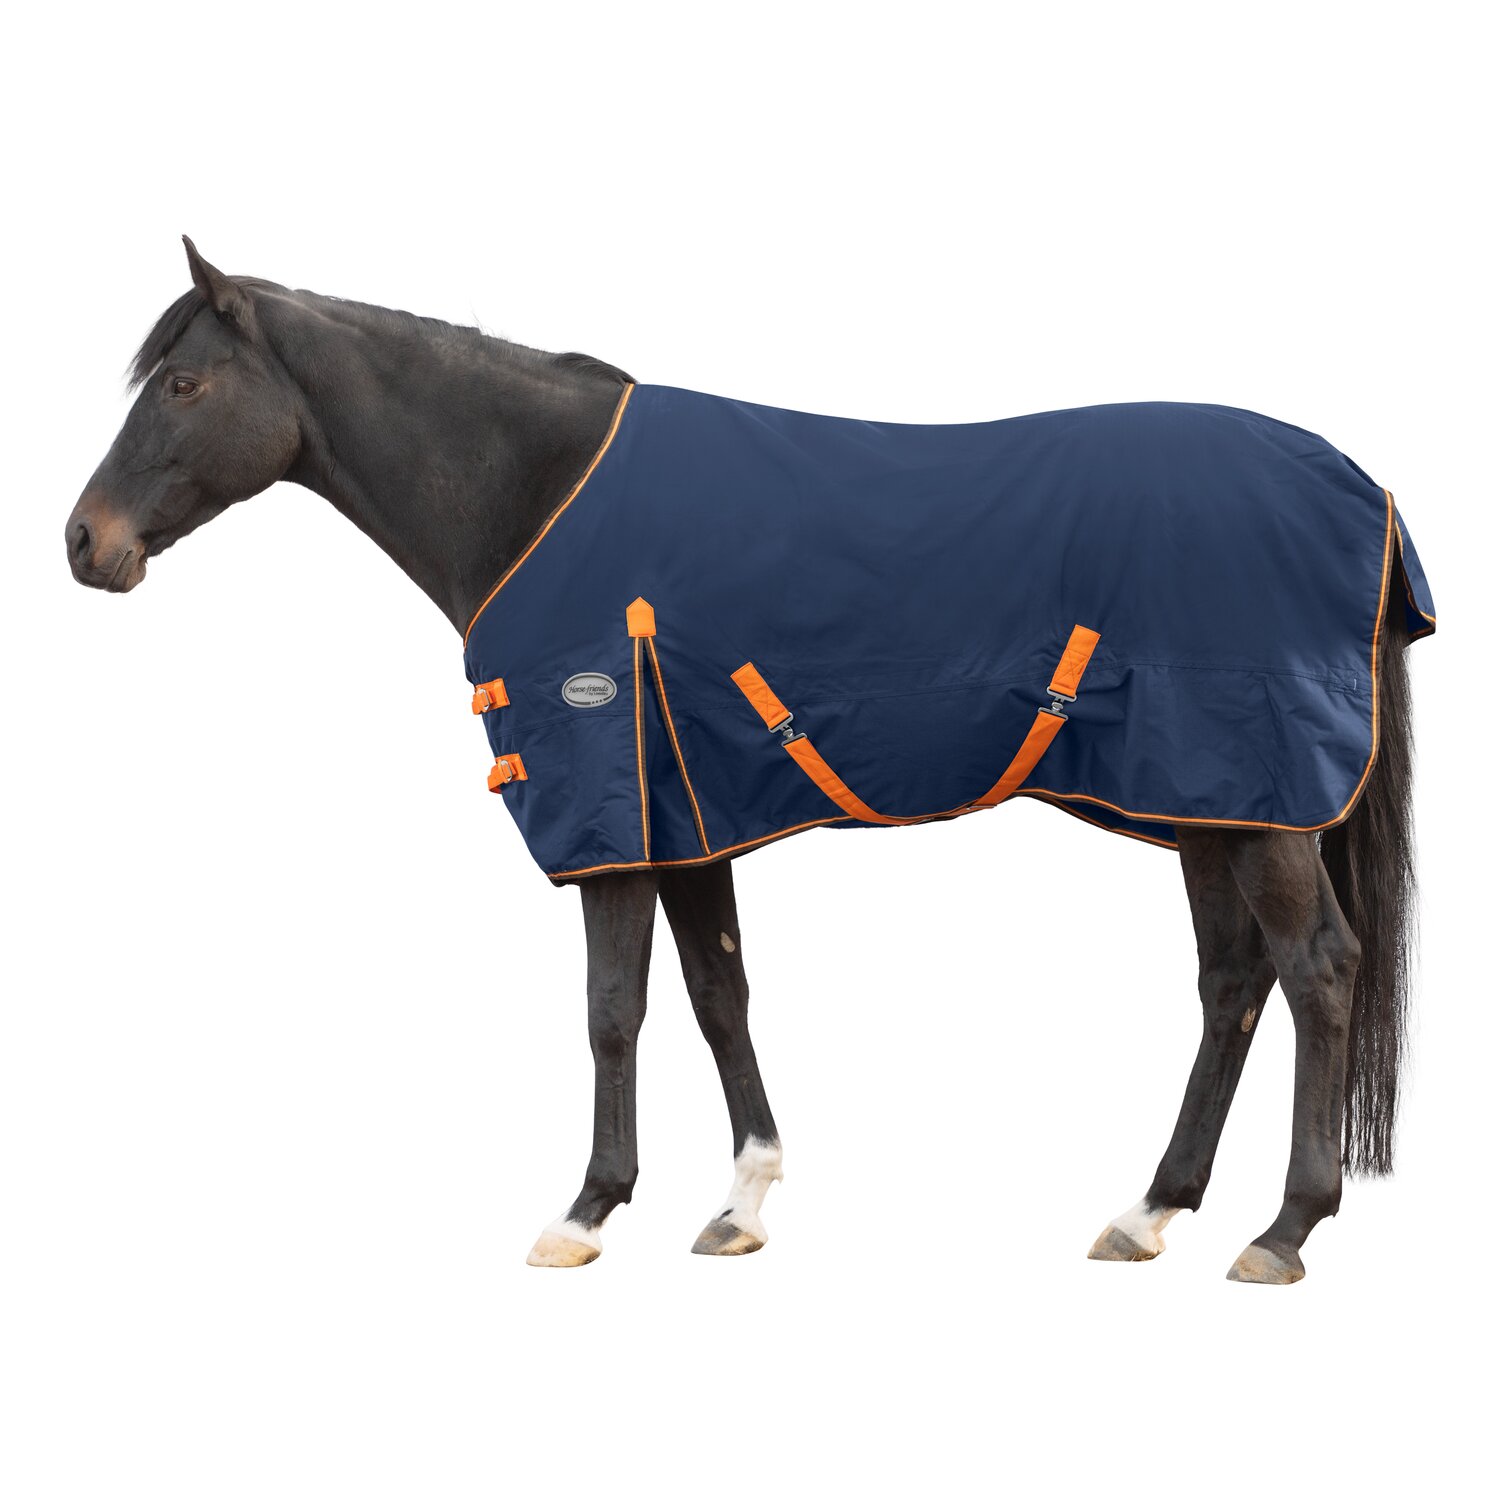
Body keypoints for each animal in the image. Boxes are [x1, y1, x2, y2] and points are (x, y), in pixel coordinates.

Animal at [65, 239, 1428, 1283]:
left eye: (182, 381)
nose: (85, 542)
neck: (538, 494)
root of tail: (1361, 494)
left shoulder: (610, 812)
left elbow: (613, 1011)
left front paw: (586, 1211)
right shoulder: (691, 812)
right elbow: (719, 992)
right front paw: (743, 1203)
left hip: (1261, 808)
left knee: (1317, 971)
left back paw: (1283, 1230)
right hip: (1207, 803)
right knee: (1233, 984)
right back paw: (1149, 1213)